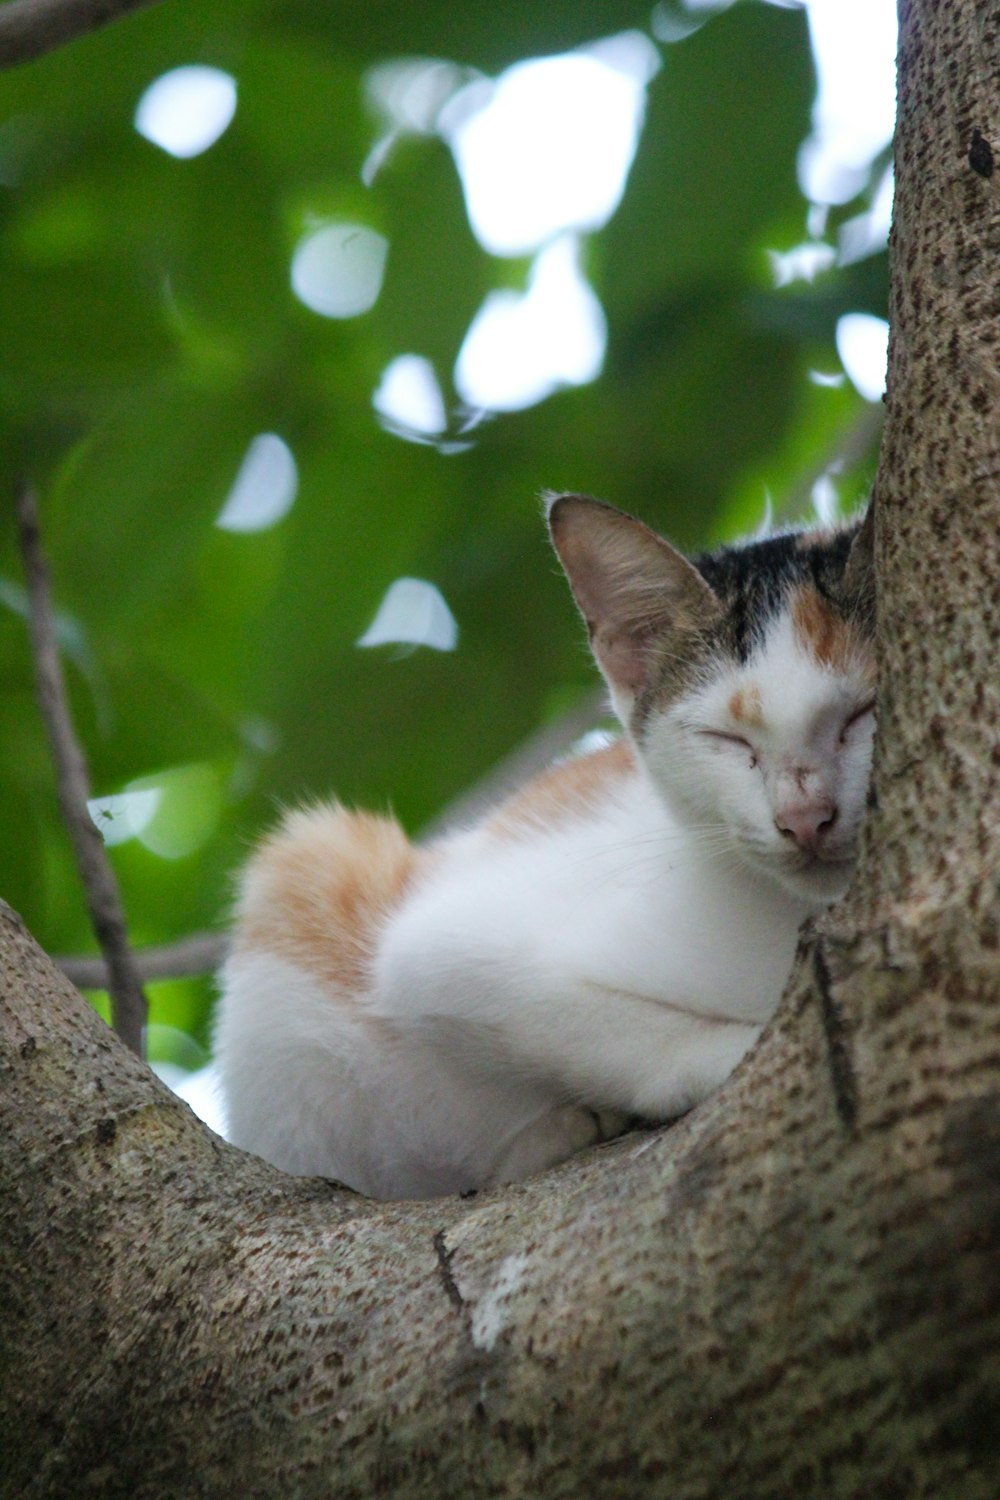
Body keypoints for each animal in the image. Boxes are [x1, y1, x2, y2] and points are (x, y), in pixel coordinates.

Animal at [212, 498, 875, 1200]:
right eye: (726, 739)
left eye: (861, 714)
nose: (804, 820)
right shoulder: (440, 941)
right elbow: (552, 1009)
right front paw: (732, 1053)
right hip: (307, 878)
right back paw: (548, 1138)